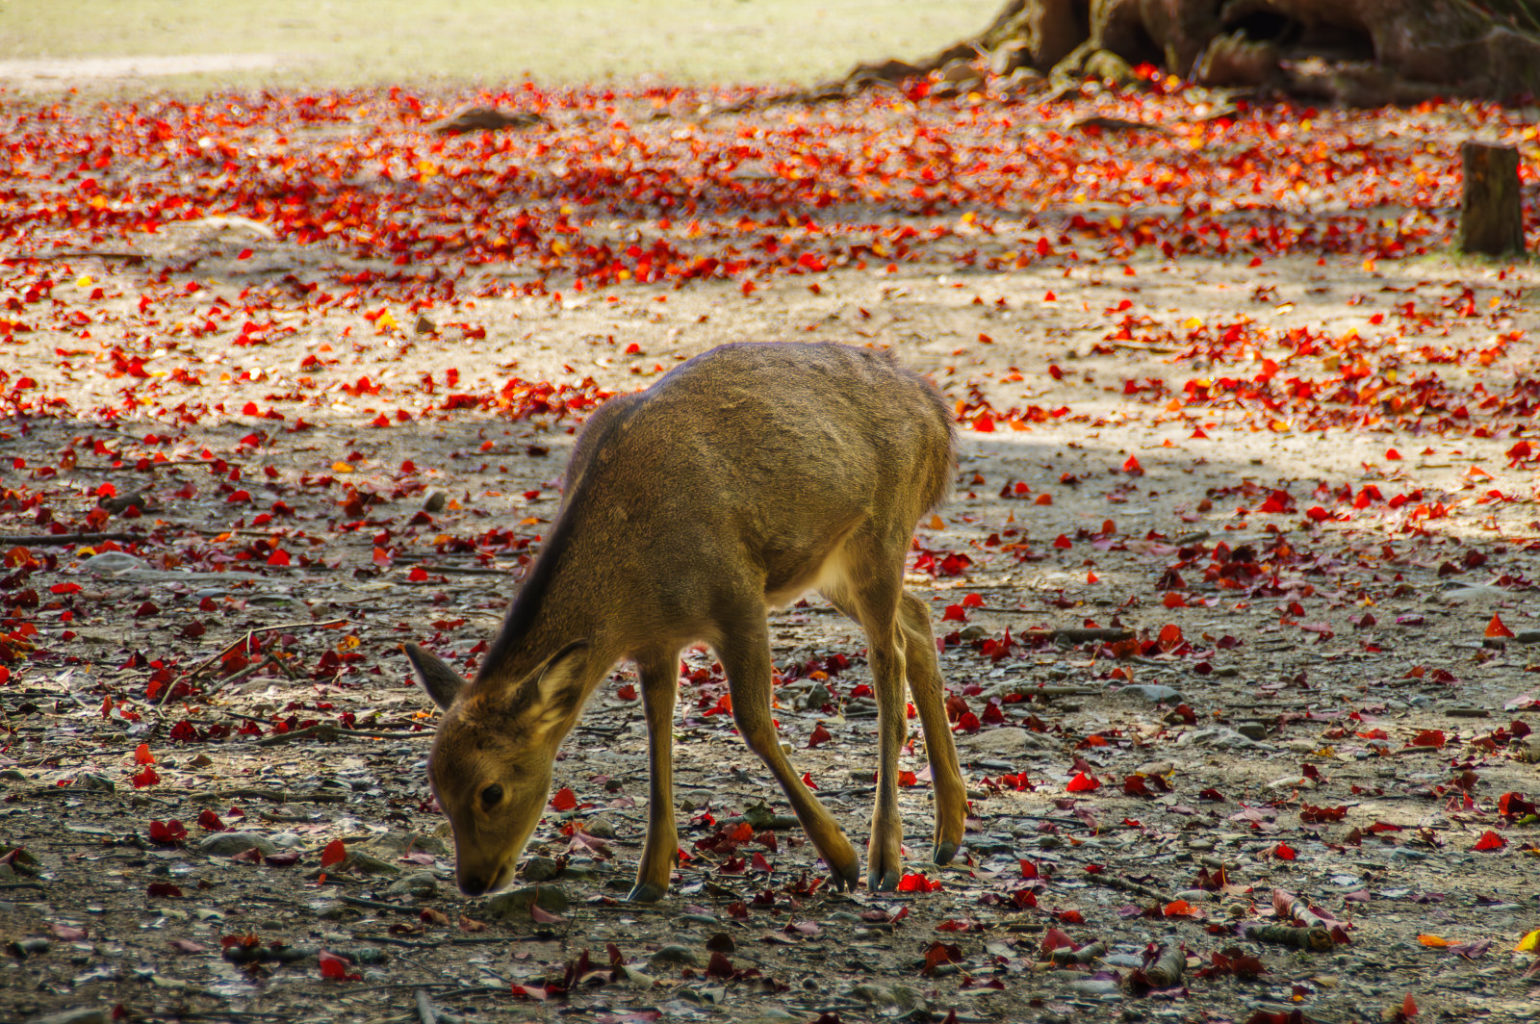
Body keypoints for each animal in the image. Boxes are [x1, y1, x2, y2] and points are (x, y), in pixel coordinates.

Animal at [403, 338, 967, 899]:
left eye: (491, 791)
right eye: (435, 786)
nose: (474, 882)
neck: (632, 596)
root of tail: (937, 414)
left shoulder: (739, 598)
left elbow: (753, 723)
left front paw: (841, 859)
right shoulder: (656, 643)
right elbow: (657, 733)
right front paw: (650, 878)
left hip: (884, 533)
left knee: (888, 661)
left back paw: (884, 860)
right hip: (828, 567)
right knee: (917, 619)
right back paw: (949, 830)